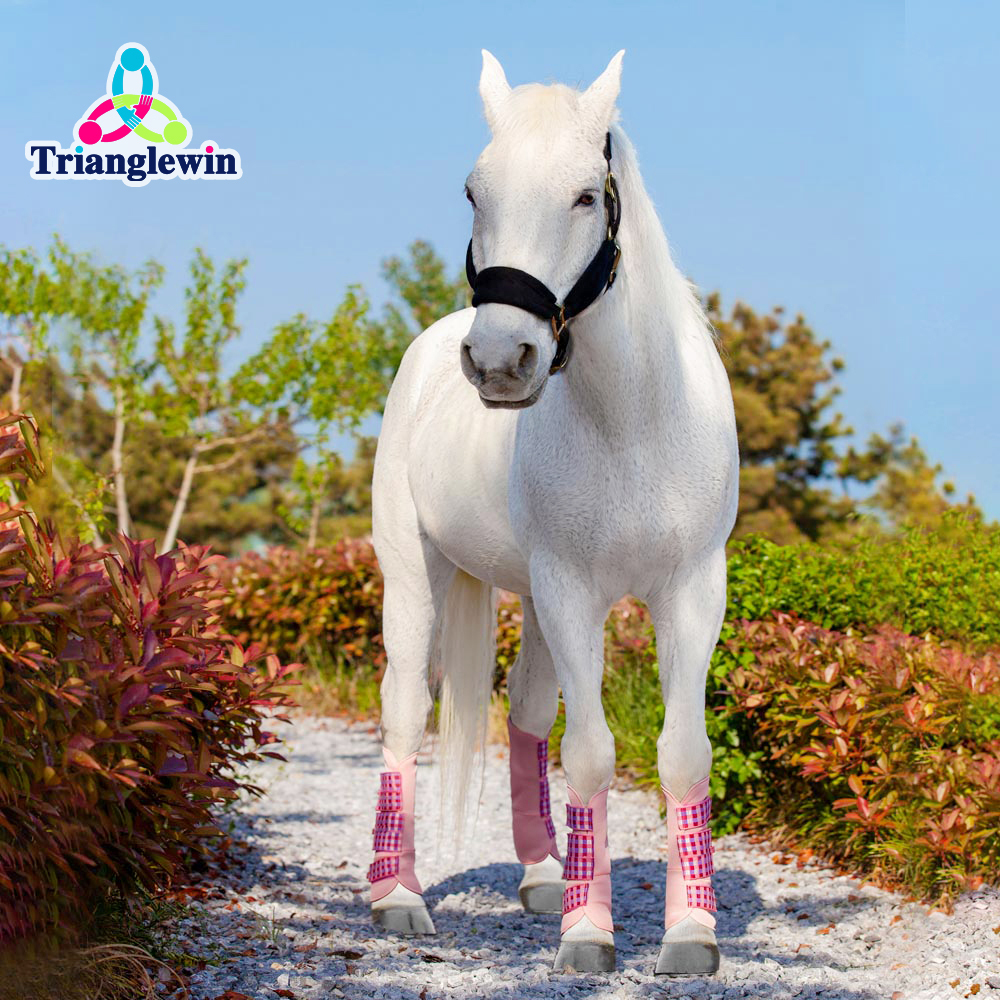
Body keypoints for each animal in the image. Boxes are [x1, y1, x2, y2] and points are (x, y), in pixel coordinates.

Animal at [366, 49, 739, 976]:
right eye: (474, 191)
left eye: (583, 196)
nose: (502, 359)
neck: (635, 421)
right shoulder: (573, 592)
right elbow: (594, 754)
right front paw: (588, 933)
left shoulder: (692, 591)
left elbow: (682, 754)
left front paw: (690, 933)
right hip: (416, 575)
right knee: (405, 709)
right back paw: (397, 895)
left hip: (530, 597)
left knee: (526, 713)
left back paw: (540, 874)